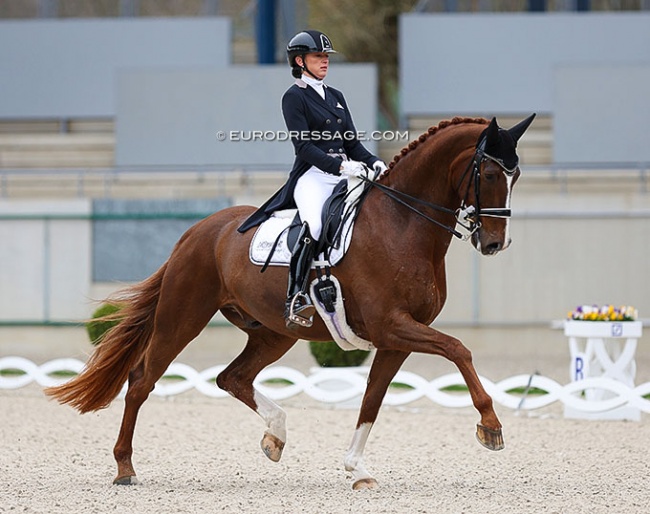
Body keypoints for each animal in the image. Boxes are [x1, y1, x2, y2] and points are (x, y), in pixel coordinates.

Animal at [44, 114, 532, 490]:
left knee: (232, 378)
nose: (495, 243)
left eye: (517, 176)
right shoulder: (392, 325)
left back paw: (275, 437)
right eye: (490, 174)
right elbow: (459, 349)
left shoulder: (396, 338)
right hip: (182, 317)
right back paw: (124, 467)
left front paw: (357, 470)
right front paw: (490, 427)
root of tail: (198, 230)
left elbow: (372, 399)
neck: (402, 223)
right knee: (142, 380)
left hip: (274, 333)